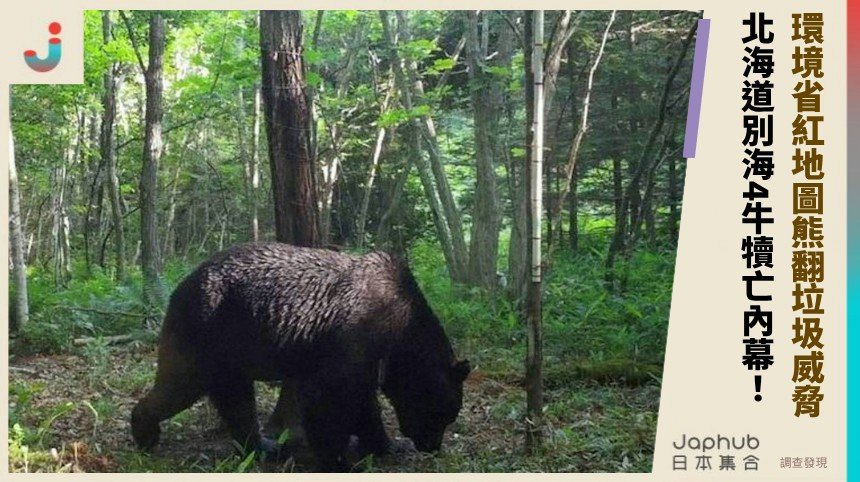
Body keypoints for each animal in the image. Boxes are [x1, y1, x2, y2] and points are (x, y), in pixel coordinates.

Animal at [130, 242, 470, 471]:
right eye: (443, 414)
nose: (432, 446)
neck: (399, 333)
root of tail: (182, 284)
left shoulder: (367, 360)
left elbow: (363, 403)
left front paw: (385, 444)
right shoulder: (352, 339)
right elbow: (330, 401)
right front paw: (337, 459)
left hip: (231, 352)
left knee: (236, 401)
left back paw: (263, 446)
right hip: (206, 329)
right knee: (181, 384)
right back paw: (144, 432)